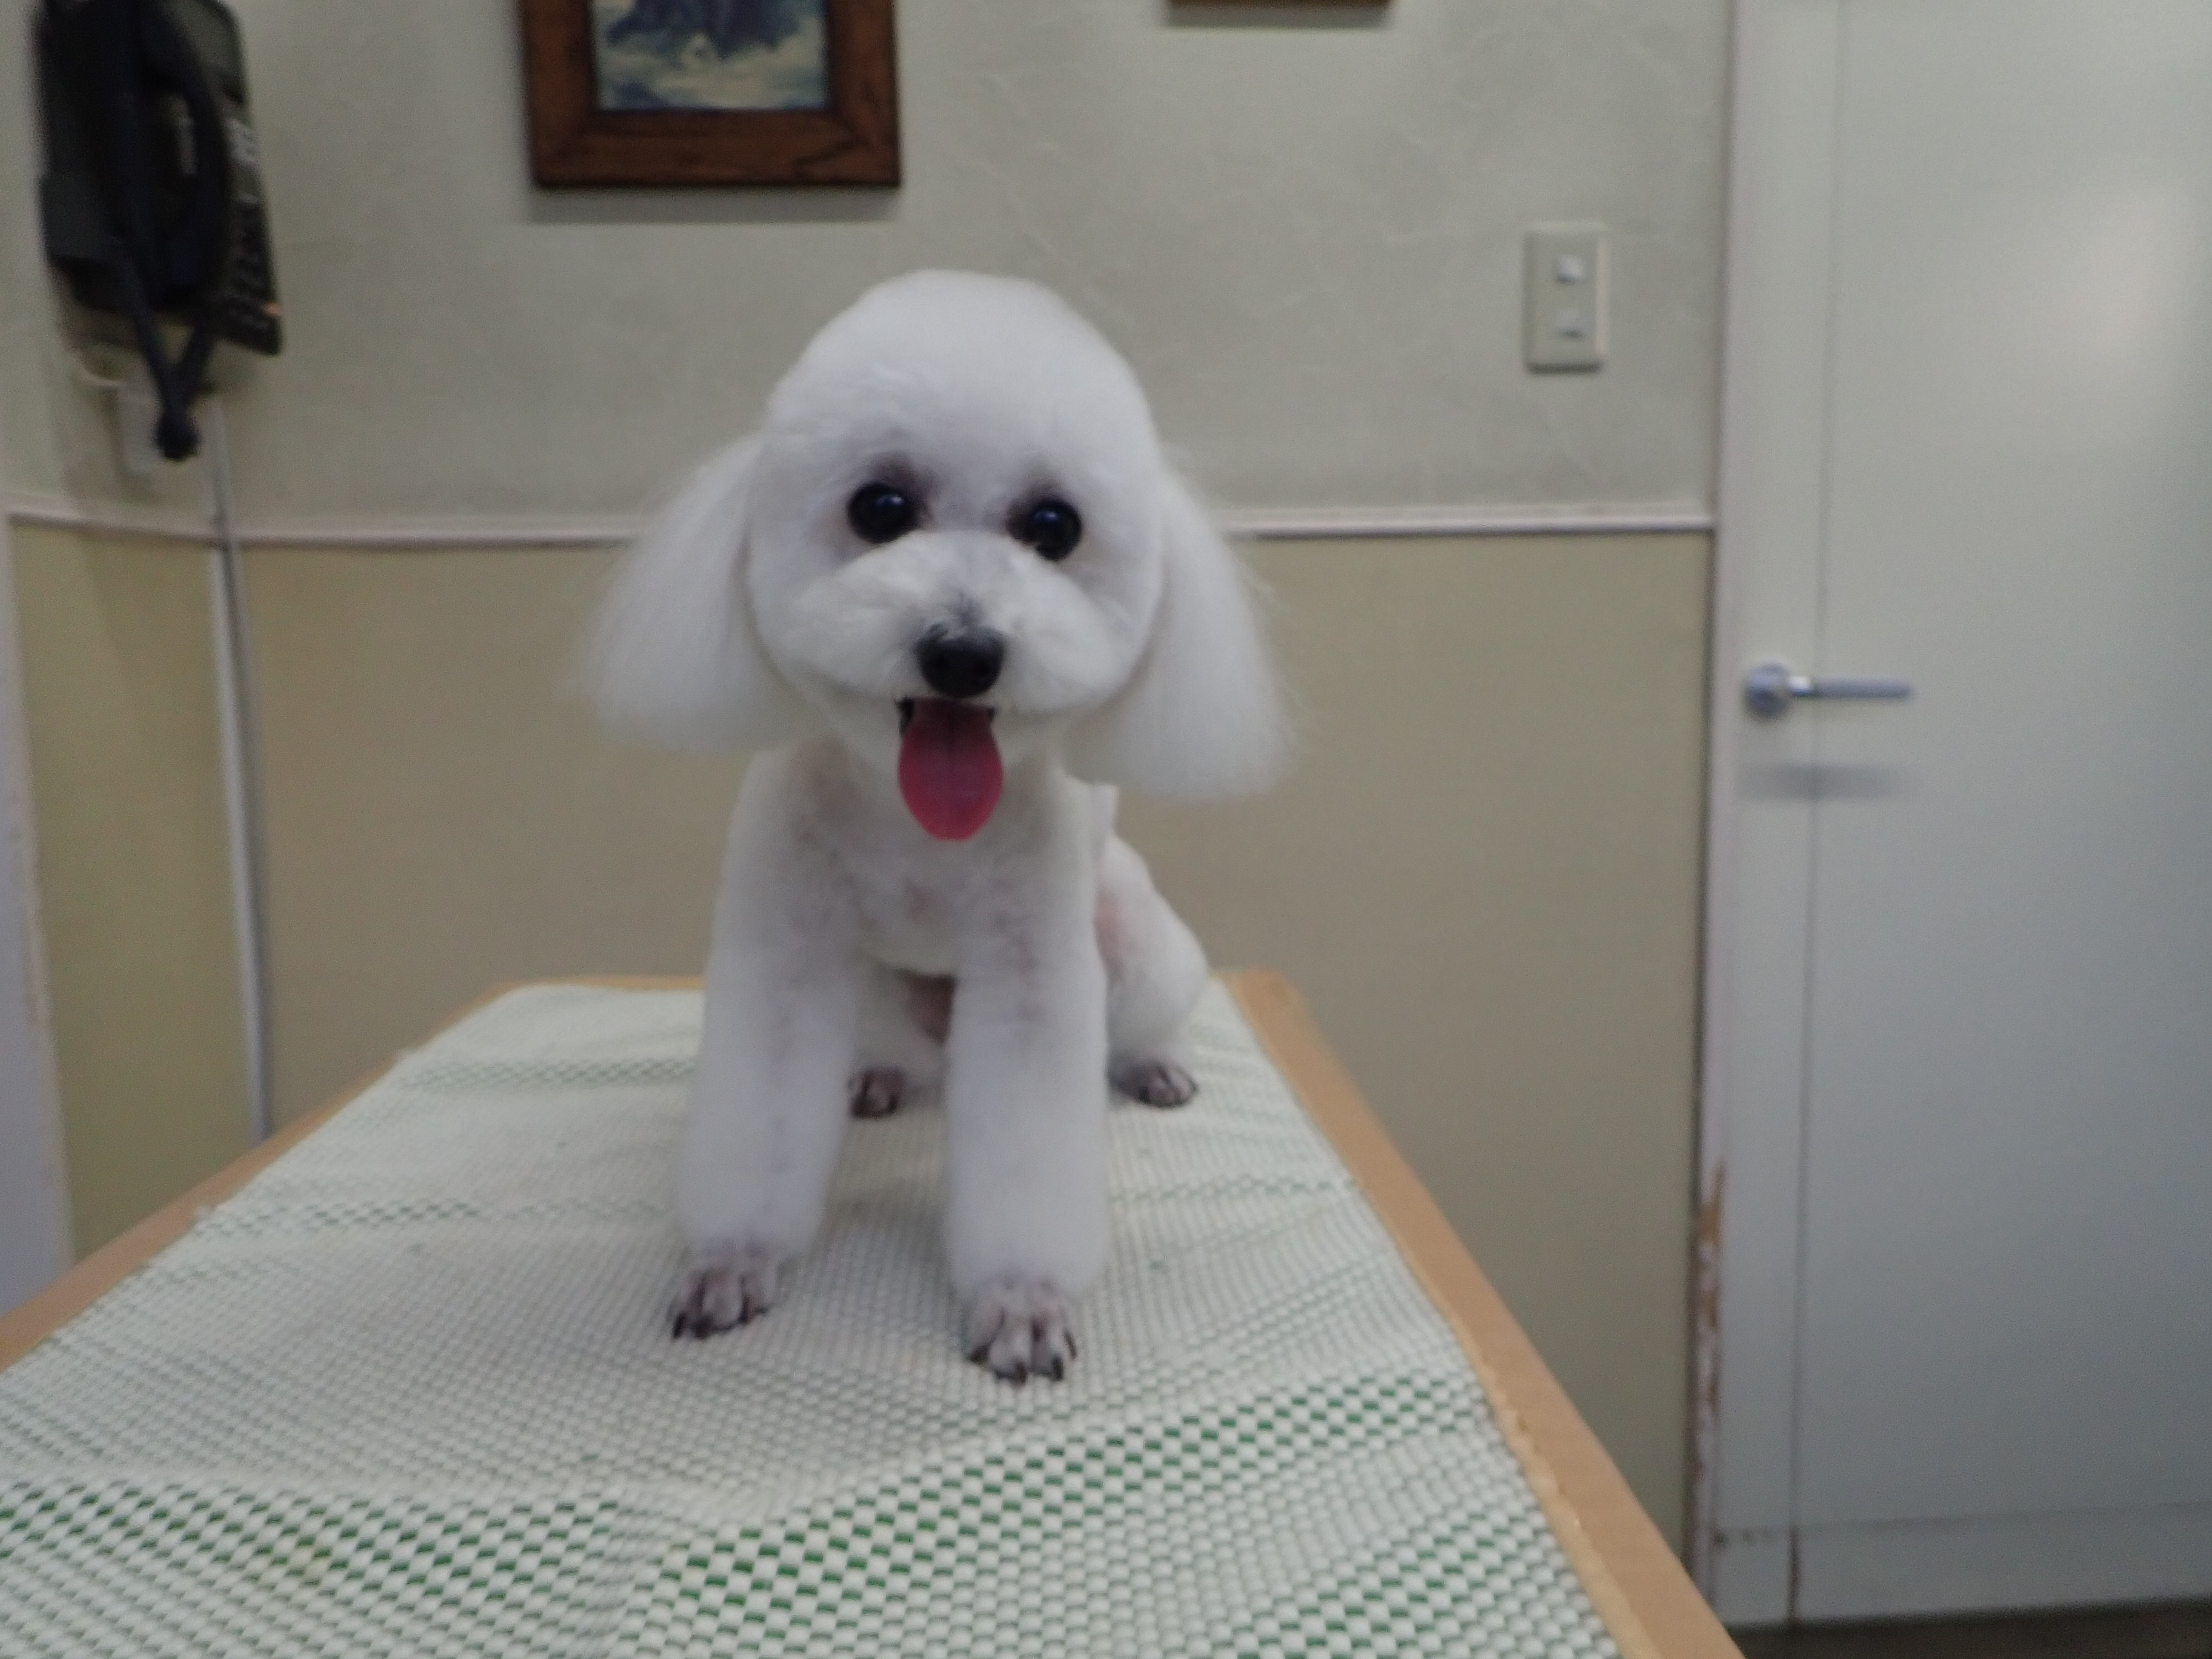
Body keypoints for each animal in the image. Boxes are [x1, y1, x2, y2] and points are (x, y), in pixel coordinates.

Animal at [590, 271, 1286, 1381]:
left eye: (1054, 525)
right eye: (880, 509)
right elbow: (762, 1115)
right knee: (890, 1052)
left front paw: (1022, 1299)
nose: (964, 651)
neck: (913, 820)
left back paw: (1154, 1064)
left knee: (1143, 1012)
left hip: (1131, 937)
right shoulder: (787, 954)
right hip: (875, 987)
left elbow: (1028, 1148)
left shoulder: (1032, 978)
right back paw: (876, 1075)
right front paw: (733, 1259)